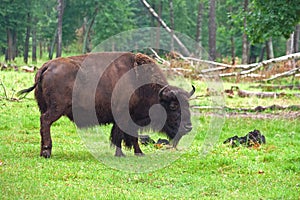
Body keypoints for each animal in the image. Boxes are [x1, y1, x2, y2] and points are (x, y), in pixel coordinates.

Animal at [18, 52, 195, 158]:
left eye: (187, 105)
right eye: (173, 106)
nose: (188, 127)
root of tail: (46, 66)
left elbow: (130, 136)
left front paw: (138, 153)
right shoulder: (123, 117)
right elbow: (121, 135)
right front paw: (122, 154)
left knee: (43, 123)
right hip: (56, 109)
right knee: (45, 121)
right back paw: (46, 152)